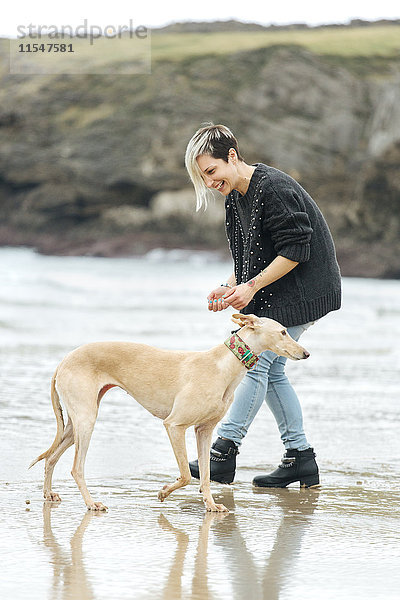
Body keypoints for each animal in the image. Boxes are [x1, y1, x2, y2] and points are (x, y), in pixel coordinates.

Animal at [31, 312, 310, 512]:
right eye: (283, 331)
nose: (306, 353)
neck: (223, 365)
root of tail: (64, 361)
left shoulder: (204, 430)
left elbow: (205, 476)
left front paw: (210, 505)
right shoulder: (174, 425)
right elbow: (186, 475)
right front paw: (164, 491)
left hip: (74, 425)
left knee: (51, 458)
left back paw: (48, 494)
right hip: (86, 420)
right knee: (76, 468)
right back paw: (91, 503)